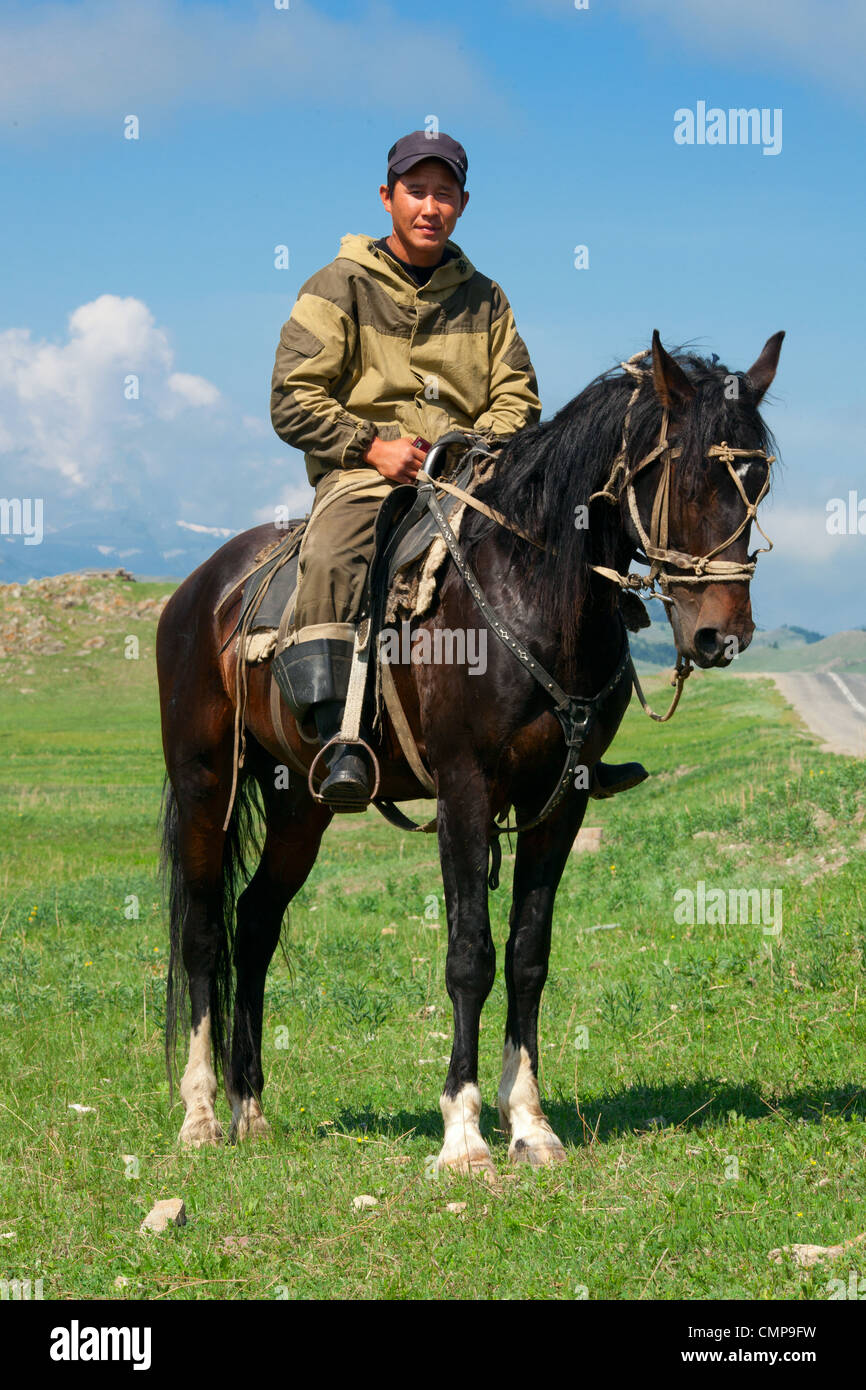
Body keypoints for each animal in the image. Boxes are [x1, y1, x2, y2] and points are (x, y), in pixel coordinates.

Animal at [156, 329, 783, 1174]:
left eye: (759, 481)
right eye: (683, 476)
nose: (722, 636)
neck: (535, 593)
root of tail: (201, 590)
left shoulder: (560, 799)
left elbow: (527, 955)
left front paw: (531, 1124)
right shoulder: (464, 791)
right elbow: (469, 956)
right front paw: (462, 1133)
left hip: (301, 805)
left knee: (254, 923)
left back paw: (249, 1109)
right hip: (203, 786)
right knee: (200, 933)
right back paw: (199, 1115)